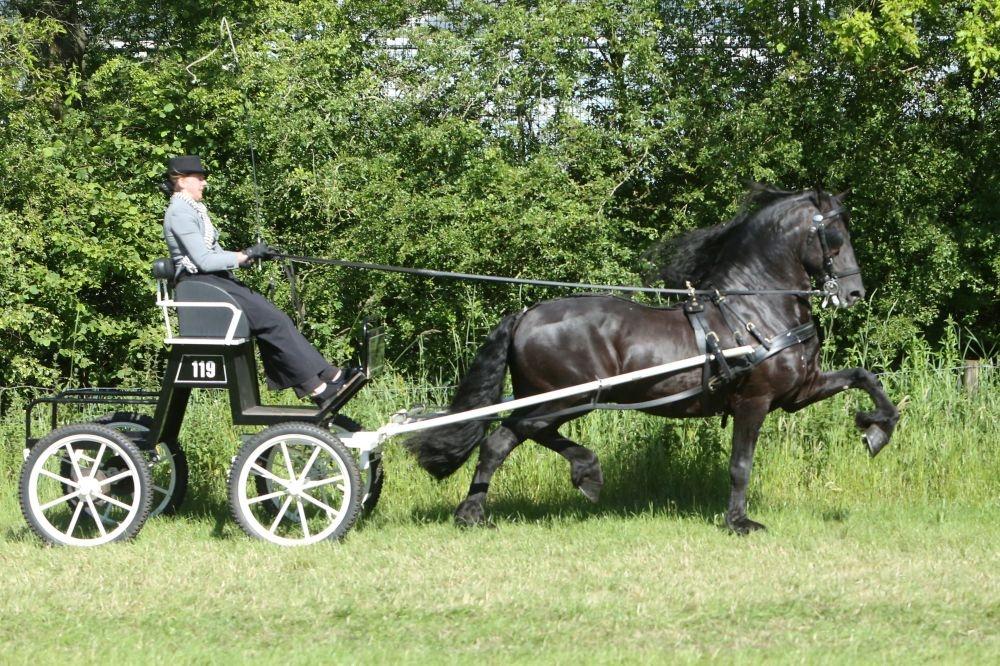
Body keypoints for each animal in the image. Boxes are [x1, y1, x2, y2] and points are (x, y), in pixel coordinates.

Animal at [404, 184, 900, 532]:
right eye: (835, 234)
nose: (854, 294)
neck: (752, 309)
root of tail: (526, 314)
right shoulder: (754, 401)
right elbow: (740, 465)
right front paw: (738, 522)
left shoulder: (799, 391)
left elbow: (865, 376)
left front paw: (875, 429)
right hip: (564, 399)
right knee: (506, 438)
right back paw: (572, 477)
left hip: (556, 400)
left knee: (505, 441)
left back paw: (487, 508)